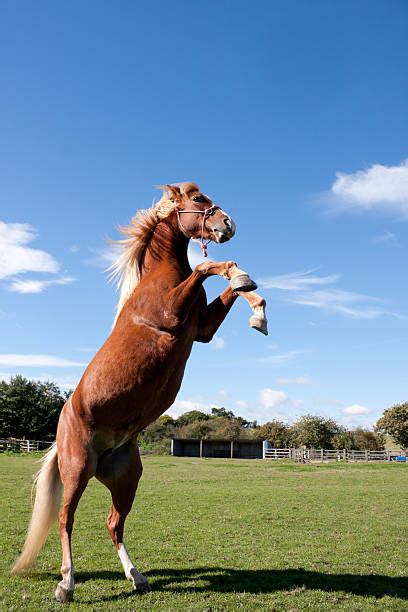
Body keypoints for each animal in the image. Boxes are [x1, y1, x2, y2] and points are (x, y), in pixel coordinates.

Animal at [11, 182, 268, 604]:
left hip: (126, 477)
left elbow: (227, 284)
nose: (227, 224)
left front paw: (256, 307)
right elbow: (208, 267)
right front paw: (245, 283)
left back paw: (137, 577)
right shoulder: (172, 316)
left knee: (113, 523)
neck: (160, 276)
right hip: (77, 469)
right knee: (66, 519)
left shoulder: (202, 330)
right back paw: (66, 584)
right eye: (197, 200)